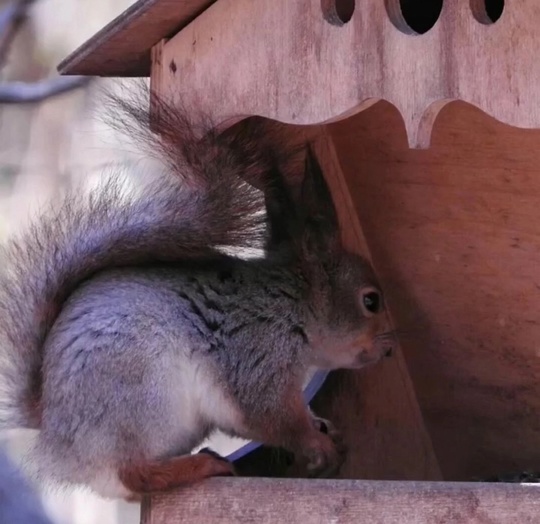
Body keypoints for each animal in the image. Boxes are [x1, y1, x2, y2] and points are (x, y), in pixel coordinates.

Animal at [0, 87, 396, 500]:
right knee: (134, 474)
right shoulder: (256, 353)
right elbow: (270, 416)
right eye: (371, 301)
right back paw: (200, 466)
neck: (292, 305)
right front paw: (315, 443)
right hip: (142, 396)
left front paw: (322, 428)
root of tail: (55, 433)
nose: (389, 348)